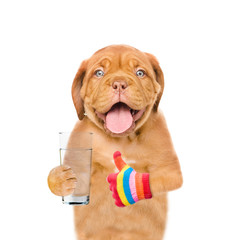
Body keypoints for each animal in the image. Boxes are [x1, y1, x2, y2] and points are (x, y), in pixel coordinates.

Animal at [47, 44, 182, 239]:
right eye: (99, 73)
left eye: (140, 73)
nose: (119, 83)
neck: (121, 139)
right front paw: (60, 178)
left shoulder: (170, 169)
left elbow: (155, 180)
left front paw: (126, 184)